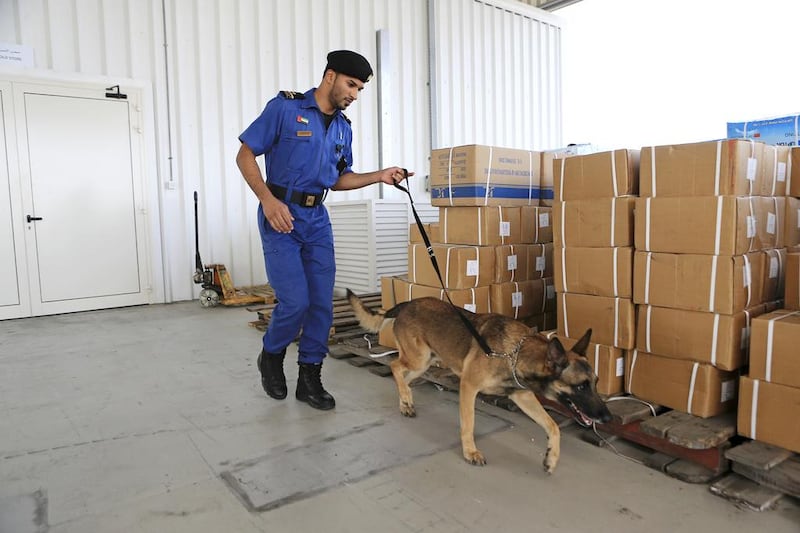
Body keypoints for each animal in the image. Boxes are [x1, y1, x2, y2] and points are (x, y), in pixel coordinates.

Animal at [346, 290, 616, 474]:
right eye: (580, 386)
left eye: (596, 382)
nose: (608, 418)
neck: (515, 353)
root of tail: (407, 304)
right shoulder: (468, 387)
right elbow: (469, 424)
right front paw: (470, 452)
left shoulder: (522, 396)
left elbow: (553, 426)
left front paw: (552, 457)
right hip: (419, 359)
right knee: (394, 366)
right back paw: (405, 399)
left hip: (424, 363)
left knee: (402, 375)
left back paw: (406, 401)